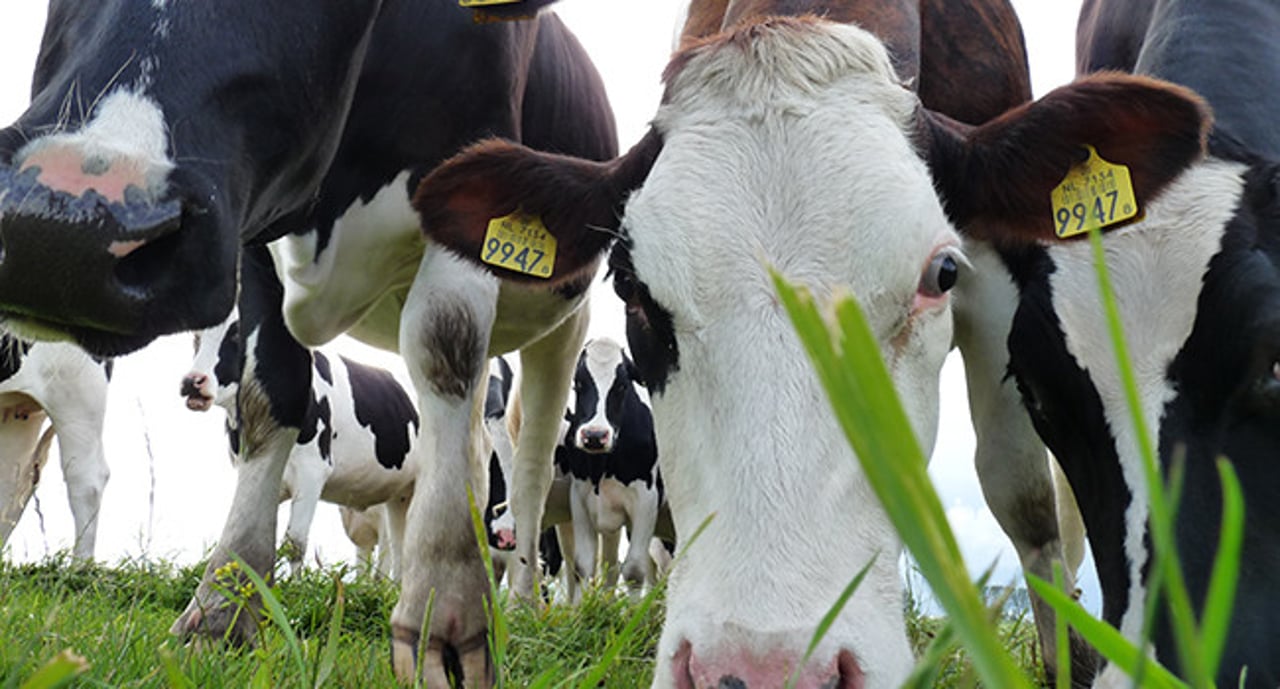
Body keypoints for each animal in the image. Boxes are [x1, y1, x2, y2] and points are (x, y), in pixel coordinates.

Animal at [180, 313, 417, 576]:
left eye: (238, 332)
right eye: (196, 336)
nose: (192, 381)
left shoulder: (312, 471)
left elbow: (295, 543)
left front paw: (293, 585)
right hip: (399, 495)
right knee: (399, 548)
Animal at [412, 2, 1121, 681]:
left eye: (943, 272)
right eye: (631, 285)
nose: (767, 672)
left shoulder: (1001, 277)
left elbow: (1024, 497)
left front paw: (1072, 660)